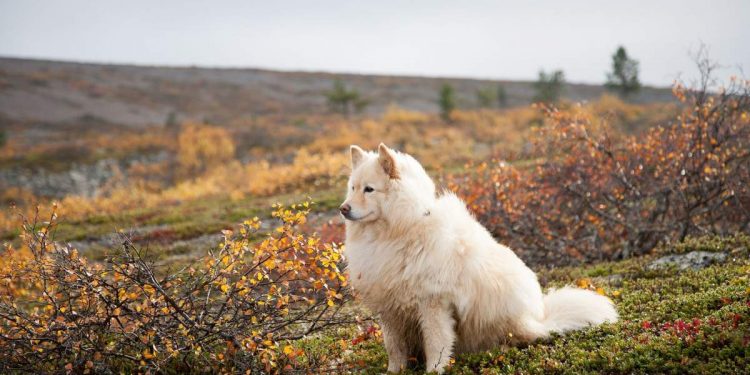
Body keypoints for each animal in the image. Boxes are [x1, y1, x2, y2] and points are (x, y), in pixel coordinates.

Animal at [344, 143, 620, 374]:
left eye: (369, 189)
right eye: (353, 188)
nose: (343, 209)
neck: (398, 231)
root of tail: (540, 318)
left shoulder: (433, 303)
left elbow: (436, 343)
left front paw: (434, 370)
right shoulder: (389, 307)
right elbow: (394, 347)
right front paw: (394, 371)